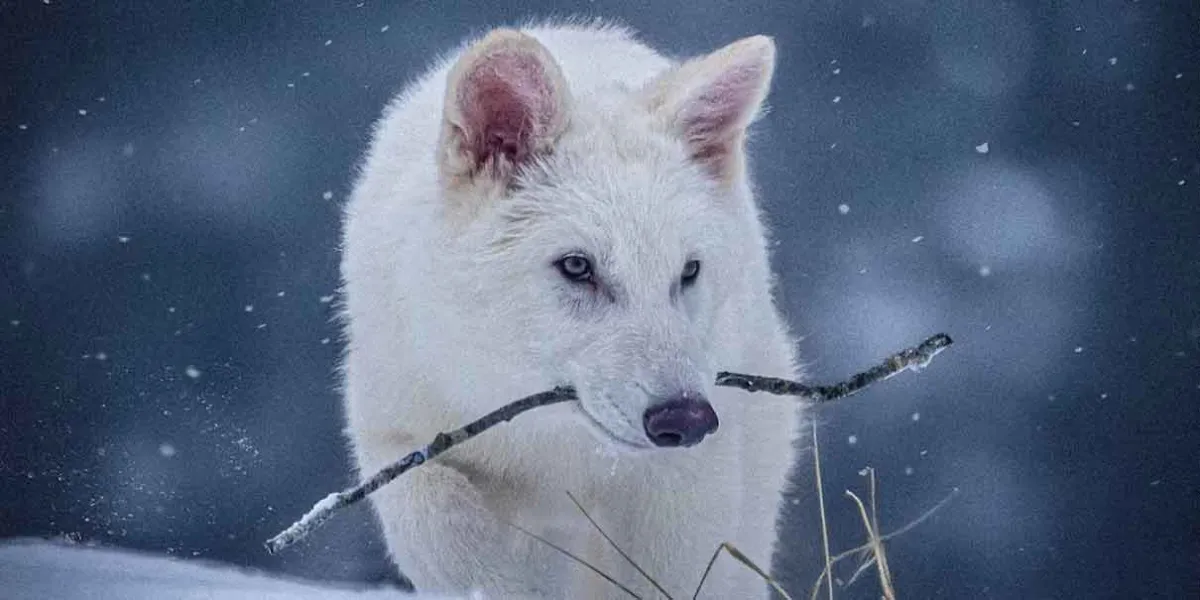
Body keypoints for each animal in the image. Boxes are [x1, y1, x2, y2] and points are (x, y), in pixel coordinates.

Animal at [338, 18, 807, 599]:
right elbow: (448, 534)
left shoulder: (685, 483)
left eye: (688, 271)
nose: (685, 419)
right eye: (578, 266)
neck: (554, 444)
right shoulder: (396, 435)